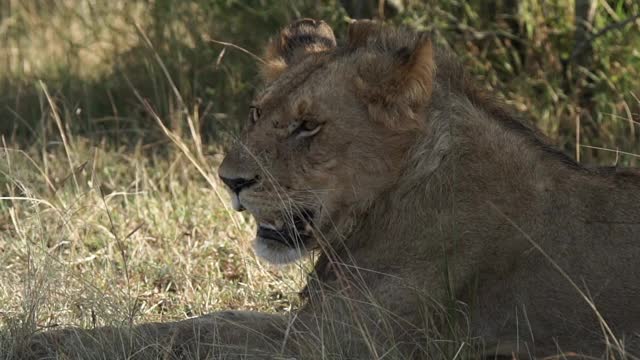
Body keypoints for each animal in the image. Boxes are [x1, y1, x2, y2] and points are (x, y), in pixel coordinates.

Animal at [20, 19, 640, 360]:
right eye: (257, 113)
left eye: (308, 126)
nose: (230, 181)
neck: (386, 204)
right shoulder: (316, 325)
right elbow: (204, 322)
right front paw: (54, 339)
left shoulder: (337, 346)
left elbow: (203, 336)